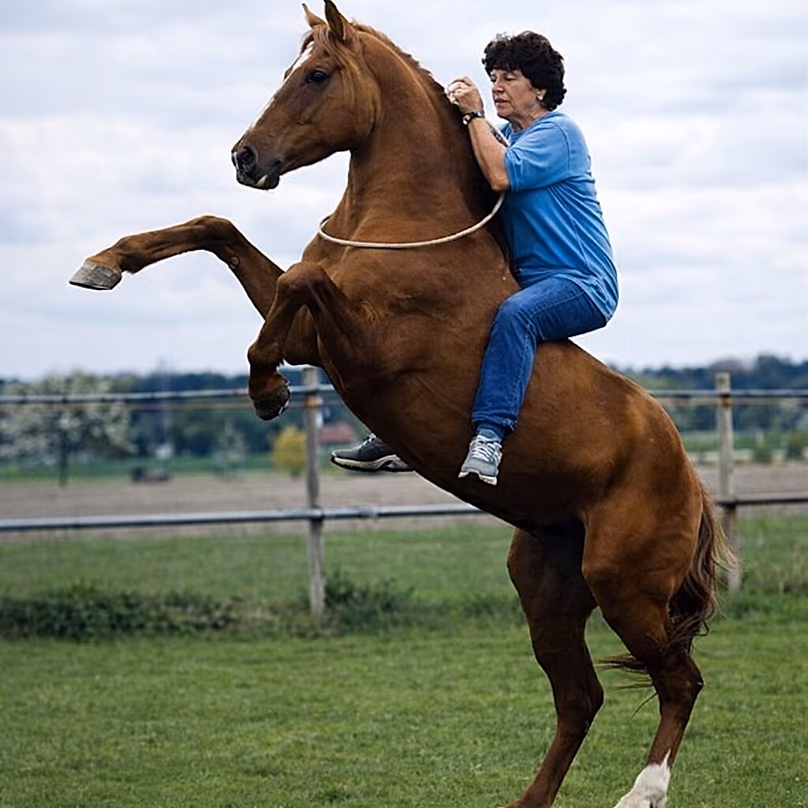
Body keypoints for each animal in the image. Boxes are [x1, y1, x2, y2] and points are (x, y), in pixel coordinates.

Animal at [69, 3, 731, 806]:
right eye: (288, 70)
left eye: (318, 75)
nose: (245, 158)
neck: (406, 227)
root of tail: (689, 478)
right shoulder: (317, 336)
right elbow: (221, 233)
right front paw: (104, 263)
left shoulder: (360, 348)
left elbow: (295, 282)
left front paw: (267, 388)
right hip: (547, 585)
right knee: (582, 698)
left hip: (625, 586)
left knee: (680, 681)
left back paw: (644, 789)